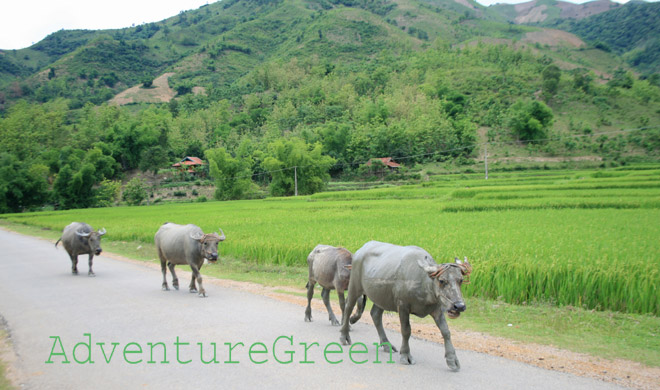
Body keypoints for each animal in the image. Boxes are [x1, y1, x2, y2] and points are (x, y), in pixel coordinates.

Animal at [338, 241, 472, 372]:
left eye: (460, 280)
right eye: (442, 281)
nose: (459, 306)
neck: (423, 283)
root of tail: (359, 251)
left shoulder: (437, 309)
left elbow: (446, 331)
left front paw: (452, 360)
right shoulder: (402, 306)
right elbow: (406, 330)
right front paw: (405, 355)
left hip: (382, 296)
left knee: (375, 315)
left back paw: (386, 344)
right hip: (354, 287)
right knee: (348, 307)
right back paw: (344, 336)